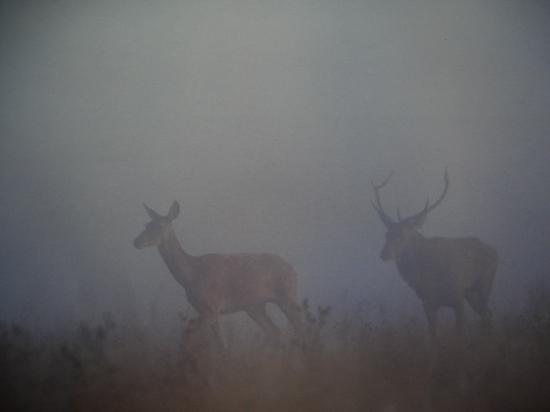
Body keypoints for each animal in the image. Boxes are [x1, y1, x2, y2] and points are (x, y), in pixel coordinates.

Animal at [135, 201, 306, 346]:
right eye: (146, 224)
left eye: (160, 226)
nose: (136, 241)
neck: (191, 275)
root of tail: (294, 270)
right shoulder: (204, 309)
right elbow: (211, 341)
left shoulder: (212, 307)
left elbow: (214, 342)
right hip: (255, 306)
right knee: (276, 333)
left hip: (288, 295)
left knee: (300, 328)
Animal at [370, 169, 500, 342]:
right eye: (387, 234)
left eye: (403, 236)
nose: (384, 253)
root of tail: (495, 252)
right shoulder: (427, 302)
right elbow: (433, 335)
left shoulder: (457, 295)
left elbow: (460, 333)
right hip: (471, 293)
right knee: (488, 315)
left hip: (484, 285)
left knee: (487, 316)